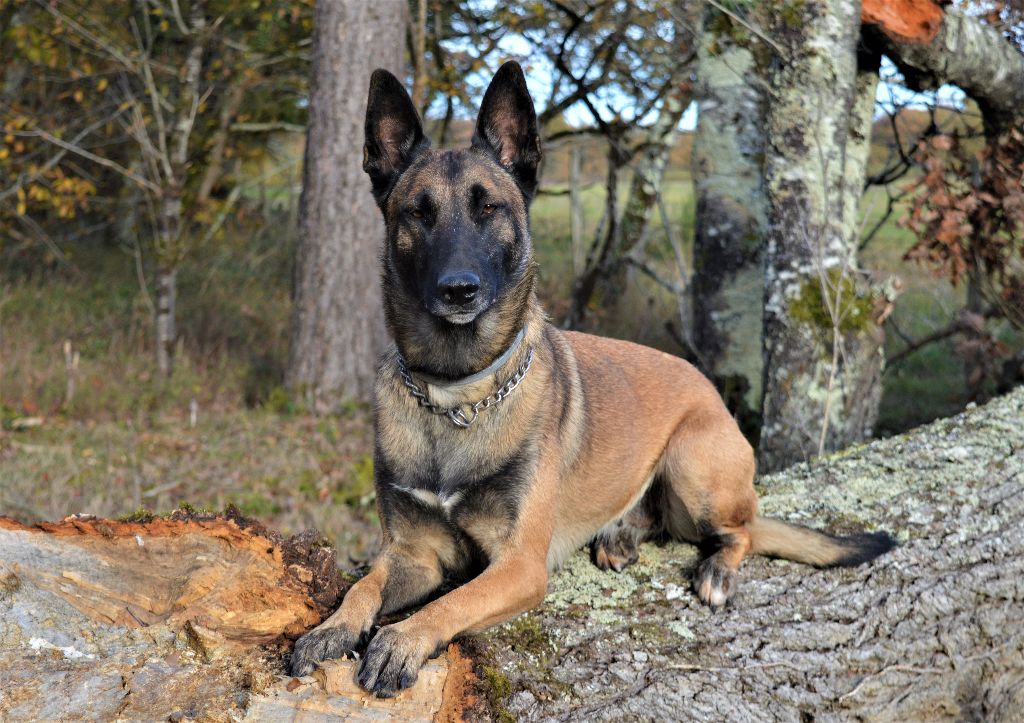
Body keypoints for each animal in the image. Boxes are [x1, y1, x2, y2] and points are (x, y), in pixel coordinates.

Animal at [286, 60, 888, 692]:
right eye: (418, 212)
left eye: (488, 208)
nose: (458, 290)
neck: (456, 393)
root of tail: (709, 391)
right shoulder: (413, 554)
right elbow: (365, 585)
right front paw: (332, 628)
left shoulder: (520, 566)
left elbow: (448, 603)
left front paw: (402, 639)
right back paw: (620, 534)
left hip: (693, 464)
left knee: (738, 530)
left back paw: (715, 569)